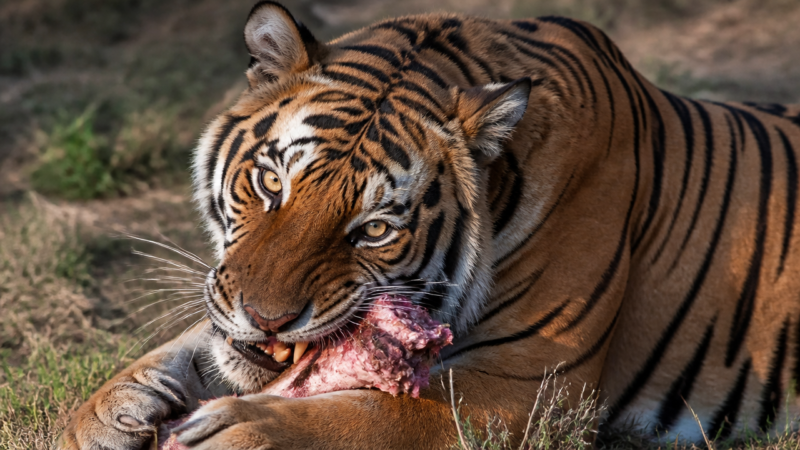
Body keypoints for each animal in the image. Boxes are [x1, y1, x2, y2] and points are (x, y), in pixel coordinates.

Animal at [60, 1, 800, 449]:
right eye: (272, 184)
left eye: (374, 231)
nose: (268, 322)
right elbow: (180, 353)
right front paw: (108, 417)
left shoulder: (524, 386)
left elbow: (376, 413)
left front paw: (235, 432)